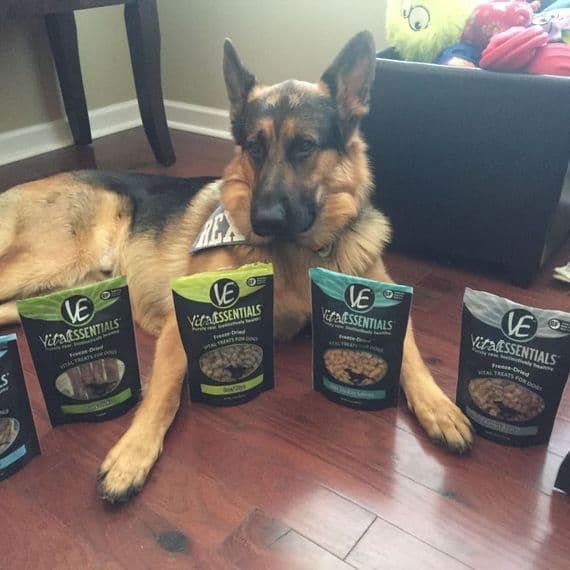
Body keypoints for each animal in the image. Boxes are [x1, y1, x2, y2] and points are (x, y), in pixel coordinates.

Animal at [0, 31, 472, 502]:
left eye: (305, 146)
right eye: (255, 148)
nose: (264, 222)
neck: (295, 253)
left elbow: (411, 354)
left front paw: (438, 406)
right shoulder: (179, 323)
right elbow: (165, 392)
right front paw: (133, 454)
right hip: (50, 262)